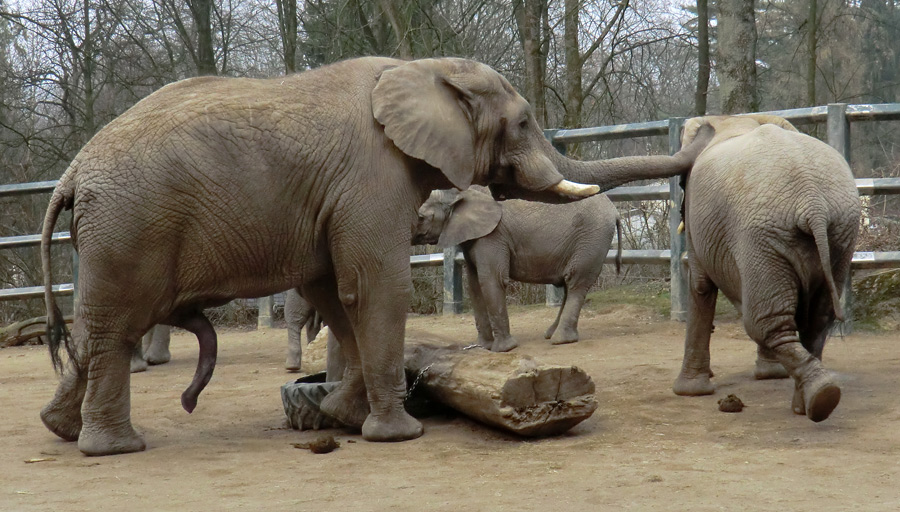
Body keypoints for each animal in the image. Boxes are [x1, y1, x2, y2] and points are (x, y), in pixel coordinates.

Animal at [414, 187, 620, 352]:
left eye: (420, 217)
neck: (458, 193)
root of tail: (615, 211)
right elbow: (474, 284)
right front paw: (483, 347)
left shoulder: (493, 235)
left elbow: (491, 279)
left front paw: (503, 349)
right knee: (570, 285)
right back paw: (551, 334)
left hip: (591, 239)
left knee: (576, 282)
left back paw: (560, 340)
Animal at [676, 116, 856, 424]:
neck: (733, 121)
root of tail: (813, 202)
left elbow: (700, 285)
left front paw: (689, 392)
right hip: (838, 233)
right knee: (817, 318)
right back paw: (813, 401)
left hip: (763, 235)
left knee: (765, 322)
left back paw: (817, 399)